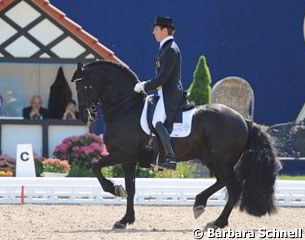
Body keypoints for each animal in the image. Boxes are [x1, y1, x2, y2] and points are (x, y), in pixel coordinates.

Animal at [71, 61, 280, 230]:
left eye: (81, 86)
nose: (83, 117)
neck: (126, 109)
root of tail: (244, 120)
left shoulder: (122, 154)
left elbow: (95, 166)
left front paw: (114, 189)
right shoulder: (128, 160)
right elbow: (131, 189)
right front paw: (125, 220)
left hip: (222, 160)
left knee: (234, 188)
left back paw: (218, 222)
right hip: (212, 160)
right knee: (222, 182)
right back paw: (199, 204)